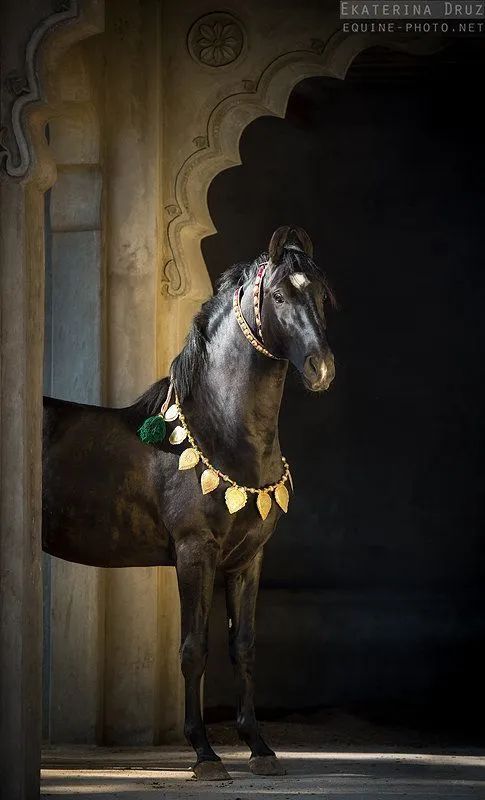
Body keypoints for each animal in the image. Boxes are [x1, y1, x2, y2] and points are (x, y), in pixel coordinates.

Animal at [42, 225, 336, 779]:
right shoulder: (194, 552)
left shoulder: (247, 560)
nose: (321, 368)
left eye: (323, 297)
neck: (221, 432)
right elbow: (193, 649)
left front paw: (259, 748)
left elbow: (243, 647)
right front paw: (204, 753)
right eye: (279, 295)